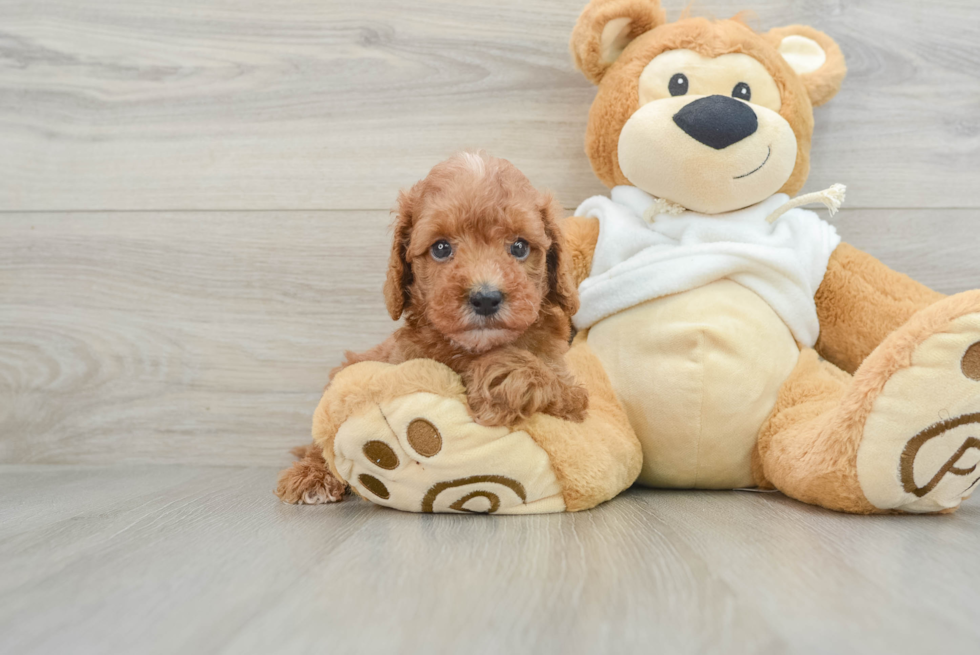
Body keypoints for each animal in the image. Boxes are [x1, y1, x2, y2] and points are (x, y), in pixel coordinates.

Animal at [274, 154, 588, 508]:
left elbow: (553, 385)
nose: (485, 298)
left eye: (519, 247)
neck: (471, 349)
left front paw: (498, 380)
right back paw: (310, 475)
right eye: (440, 248)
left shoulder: (572, 397)